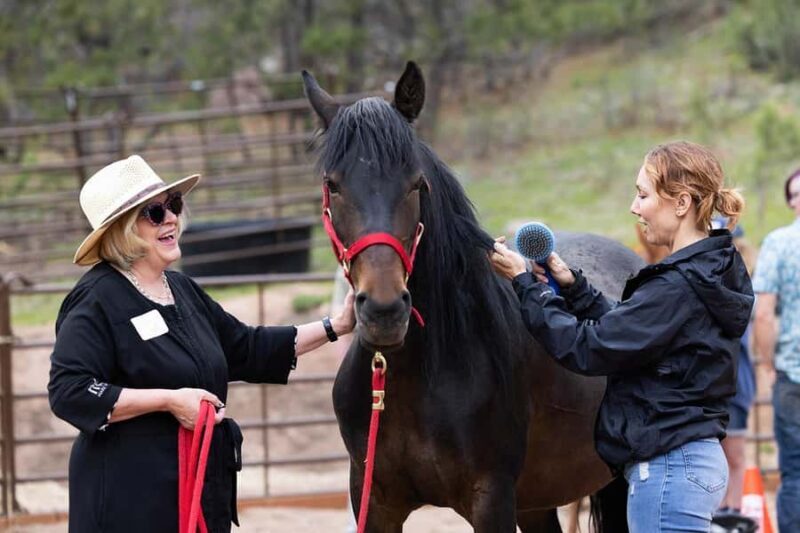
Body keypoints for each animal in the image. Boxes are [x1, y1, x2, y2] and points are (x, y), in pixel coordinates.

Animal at [303, 62, 643, 532]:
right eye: (332, 185)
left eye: (416, 184)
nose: (385, 311)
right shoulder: (373, 501)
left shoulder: (491, 499)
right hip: (537, 501)